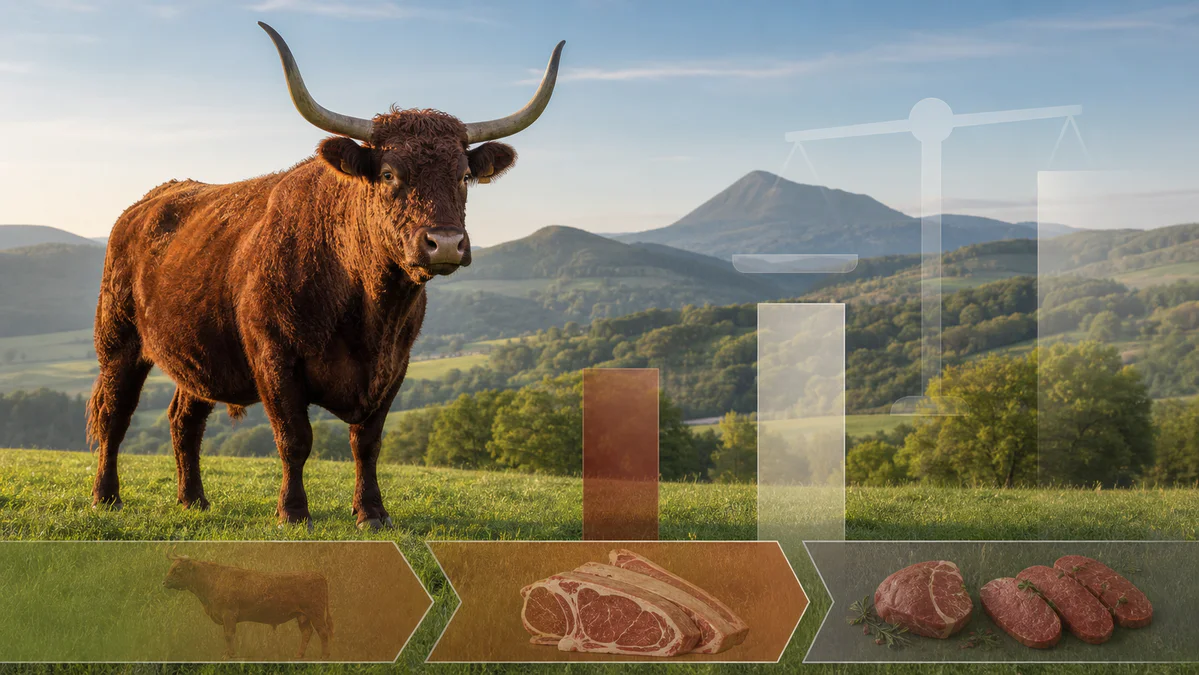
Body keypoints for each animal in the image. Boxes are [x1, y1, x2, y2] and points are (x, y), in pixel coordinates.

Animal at [86, 23, 564, 528]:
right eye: (389, 173)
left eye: (463, 176)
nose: (447, 242)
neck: (370, 308)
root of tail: (150, 199)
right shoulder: (274, 358)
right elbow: (295, 439)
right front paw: (294, 511)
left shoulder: (395, 366)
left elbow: (367, 443)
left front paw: (372, 511)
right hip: (118, 341)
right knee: (114, 414)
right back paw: (106, 496)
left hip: (196, 350)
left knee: (184, 419)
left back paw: (193, 499)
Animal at [162, 552, 333, 660]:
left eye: (178, 569)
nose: (164, 582)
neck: (213, 580)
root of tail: (319, 575)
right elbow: (227, 635)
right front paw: (227, 653)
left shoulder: (229, 614)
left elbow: (229, 634)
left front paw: (230, 655)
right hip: (302, 616)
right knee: (307, 633)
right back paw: (299, 655)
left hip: (315, 614)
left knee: (323, 632)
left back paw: (324, 656)